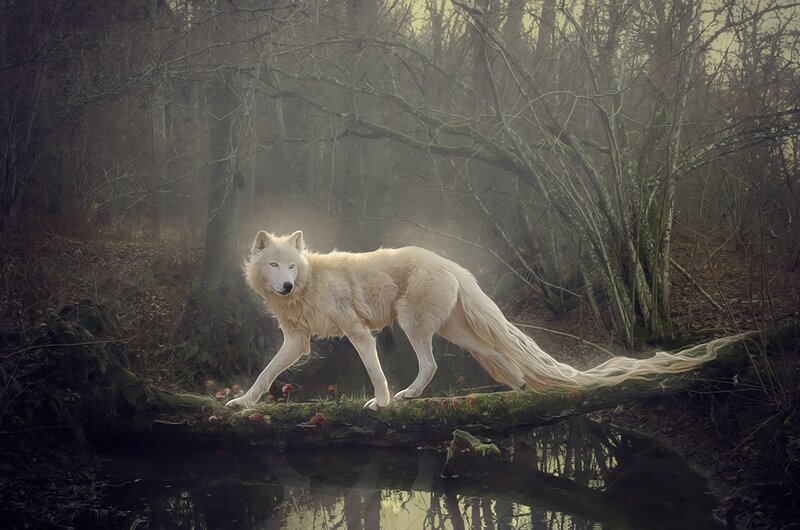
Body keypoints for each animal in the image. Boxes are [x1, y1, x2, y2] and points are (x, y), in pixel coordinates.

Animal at [227, 230, 741, 410]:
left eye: (291, 266)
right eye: (273, 265)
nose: (286, 286)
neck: (310, 282)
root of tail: (451, 262)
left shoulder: (359, 332)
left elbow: (375, 372)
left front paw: (383, 402)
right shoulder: (297, 342)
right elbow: (266, 373)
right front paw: (243, 403)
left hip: (414, 326)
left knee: (432, 366)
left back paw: (409, 396)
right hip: (457, 334)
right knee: (498, 356)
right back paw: (520, 388)